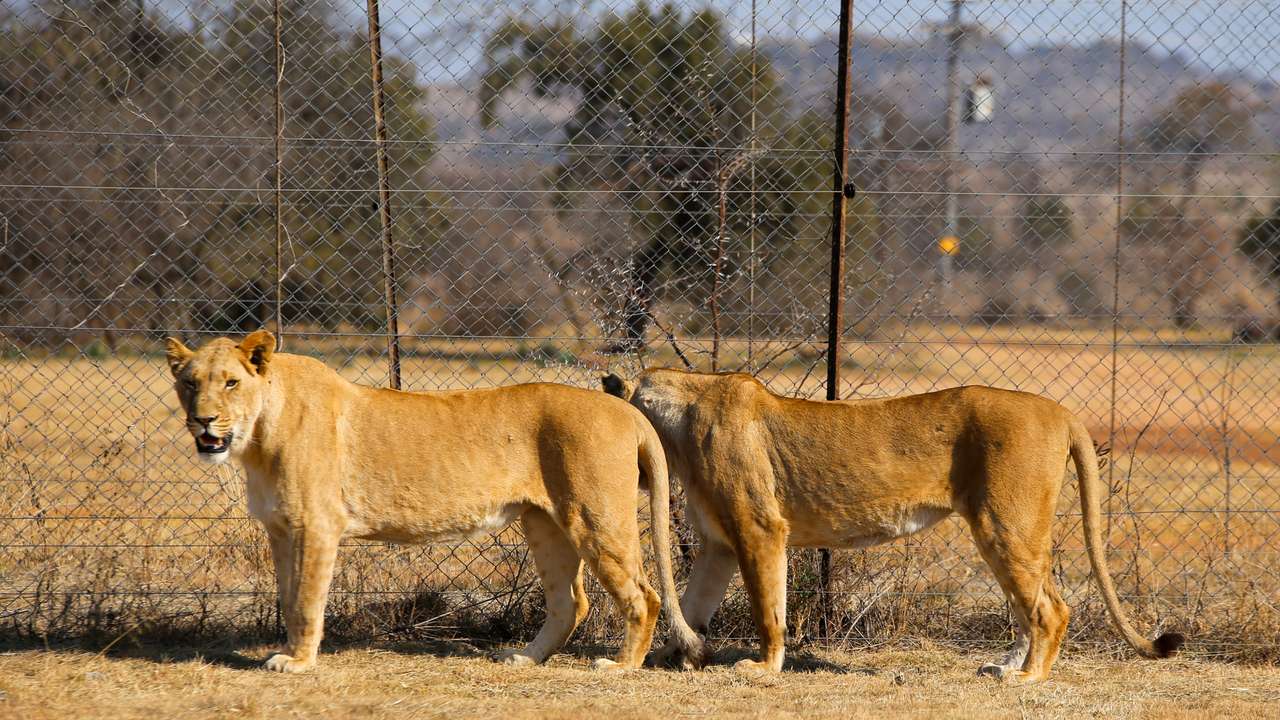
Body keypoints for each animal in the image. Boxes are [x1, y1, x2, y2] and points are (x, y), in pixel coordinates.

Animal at [164, 330, 703, 673]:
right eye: (189, 383)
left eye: (231, 382)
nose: (203, 420)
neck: (256, 438)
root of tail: (626, 410)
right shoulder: (280, 528)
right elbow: (287, 595)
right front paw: (290, 653)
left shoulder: (317, 526)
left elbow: (305, 601)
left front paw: (296, 662)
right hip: (545, 524)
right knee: (570, 602)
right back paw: (524, 657)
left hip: (596, 518)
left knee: (644, 595)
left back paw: (621, 666)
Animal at [601, 368, 1183, 683]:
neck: (678, 425)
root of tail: (1062, 411)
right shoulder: (719, 545)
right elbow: (695, 605)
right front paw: (672, 655)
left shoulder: (760, 529)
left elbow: (769, 612)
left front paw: (762, 668)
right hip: (998, 531)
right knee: (1028, 609)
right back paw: (1003, 667)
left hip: (1007, 525)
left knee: (1051, 608)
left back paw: (1027, 677)